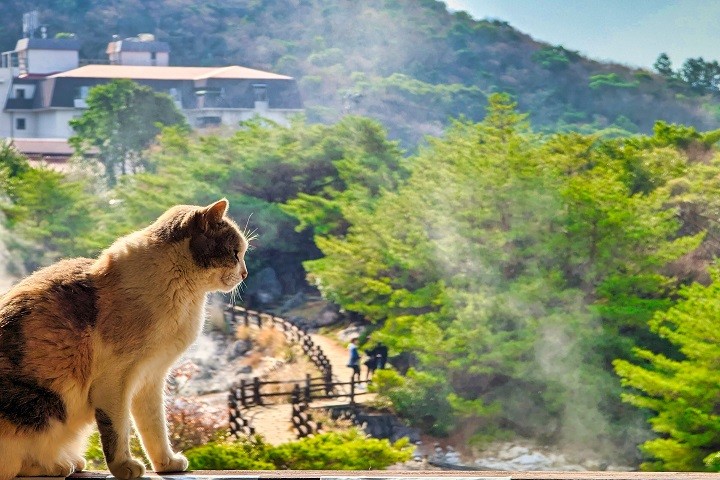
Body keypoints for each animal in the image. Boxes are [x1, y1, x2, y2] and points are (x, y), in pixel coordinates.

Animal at [0, 197, 250, 478]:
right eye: (235, 253)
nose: (245, 274)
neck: (183, 296)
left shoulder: (151, 378)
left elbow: (155, 429)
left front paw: (166, 464)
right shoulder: (115, 380)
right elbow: (117, 430)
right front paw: (124, 466)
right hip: (40, 405)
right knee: (19, 462)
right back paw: (57, 465)